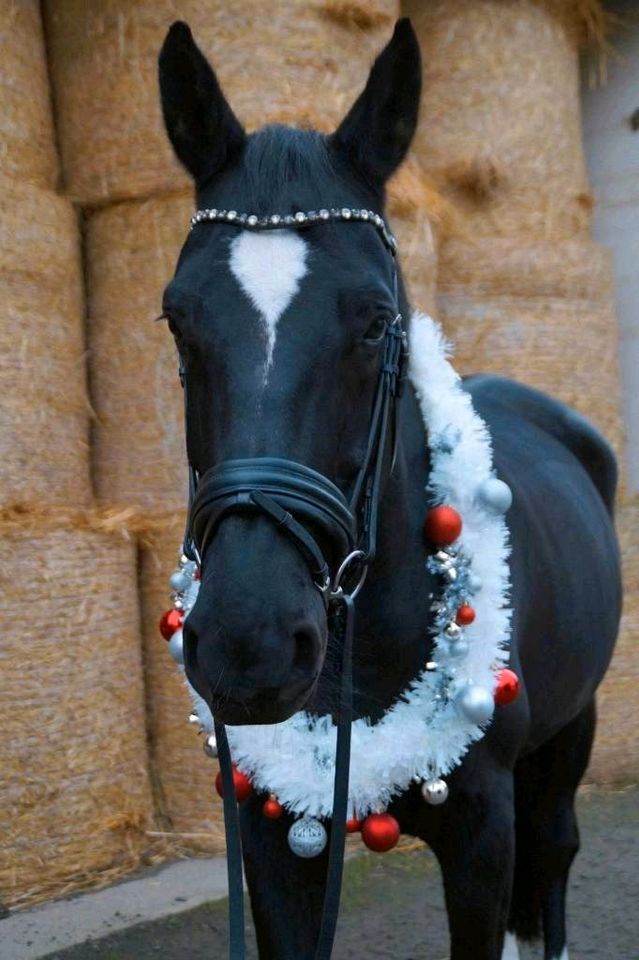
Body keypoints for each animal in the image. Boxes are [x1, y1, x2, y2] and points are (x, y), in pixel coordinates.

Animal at [158, 20, 624, 960]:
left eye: (376, 321)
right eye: (176, 317)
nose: (249, 642)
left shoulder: (482, 833)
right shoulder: (270, 838)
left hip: (570, 737)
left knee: (551, 863)